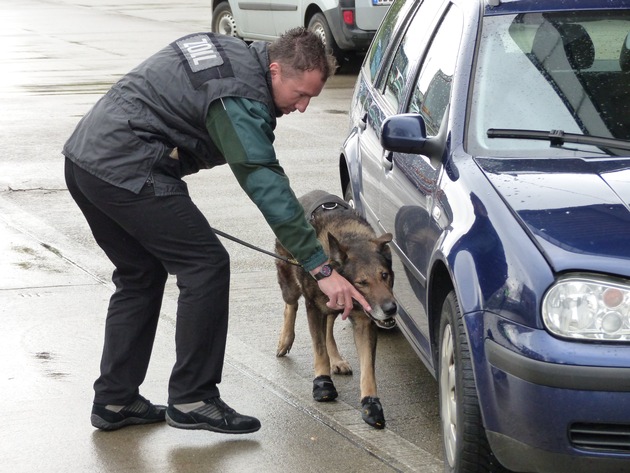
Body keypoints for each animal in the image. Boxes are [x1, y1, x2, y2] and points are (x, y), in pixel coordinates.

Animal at [276, 189, 398, 428]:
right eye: (362, 283)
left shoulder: (363, 321)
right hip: (290, 284)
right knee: (290, 306)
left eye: (385, 276)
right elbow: (319, 349)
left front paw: (371, 403)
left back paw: (337, 359)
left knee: (329, 326)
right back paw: (285, 339)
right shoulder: (314, 308)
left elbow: (368, 367)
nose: (391, 309)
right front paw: (322, 383)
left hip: (334, 303)